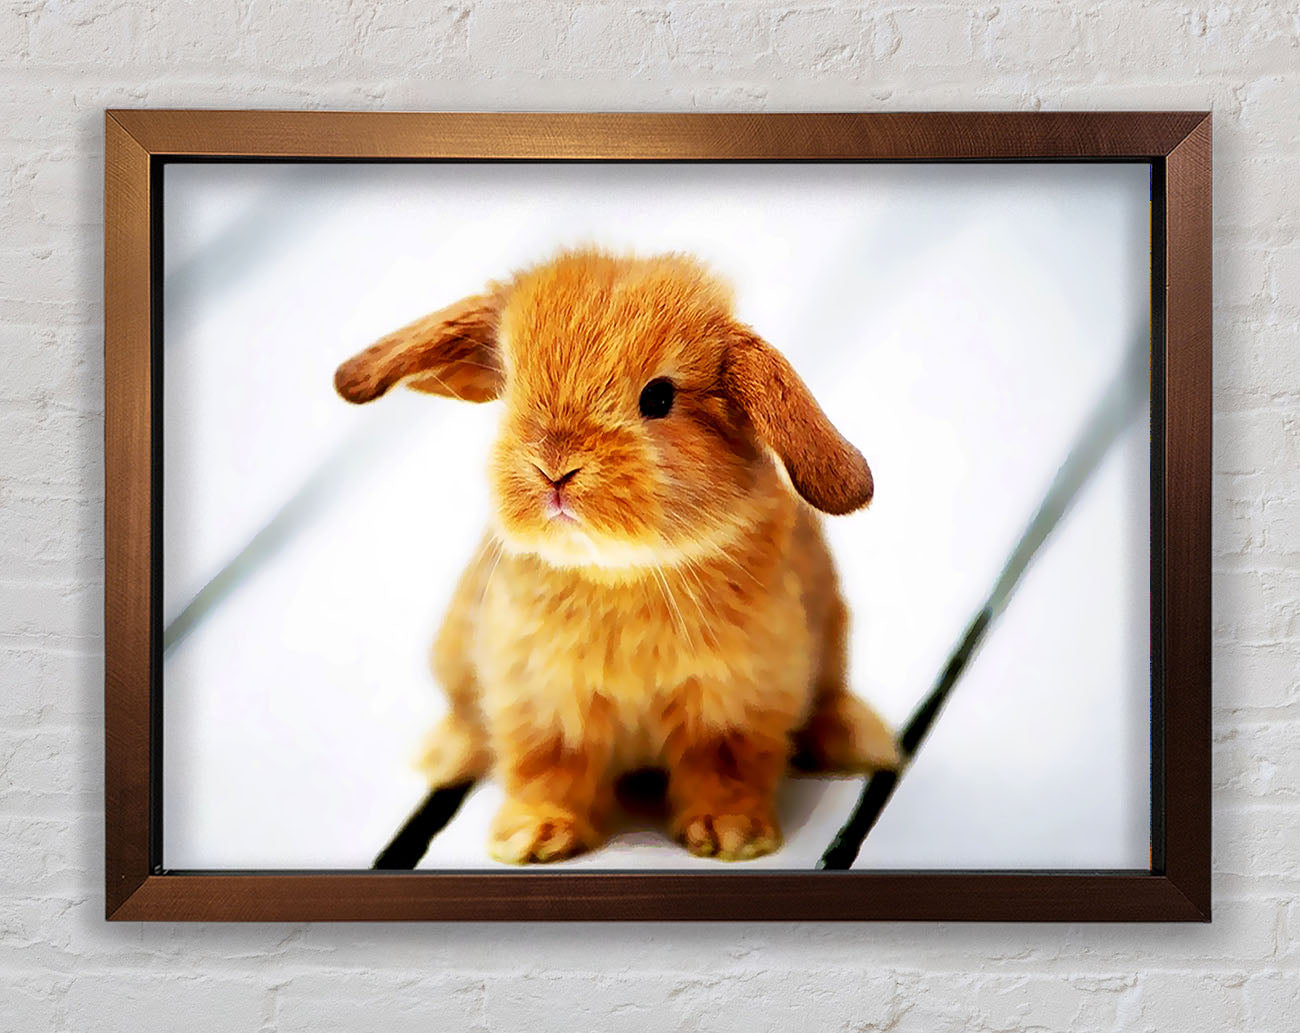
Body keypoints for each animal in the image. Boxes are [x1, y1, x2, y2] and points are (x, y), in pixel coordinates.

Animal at [334, 247, 899, 864]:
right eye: (510, 385)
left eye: (659, 397)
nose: (555, 469)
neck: (621, 572)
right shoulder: (540, 699)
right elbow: (547, 769)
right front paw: (532, 838)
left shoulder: (736, 701)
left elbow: (724, 767)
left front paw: (731, 834)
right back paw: (443, 756)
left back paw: (859, 740)